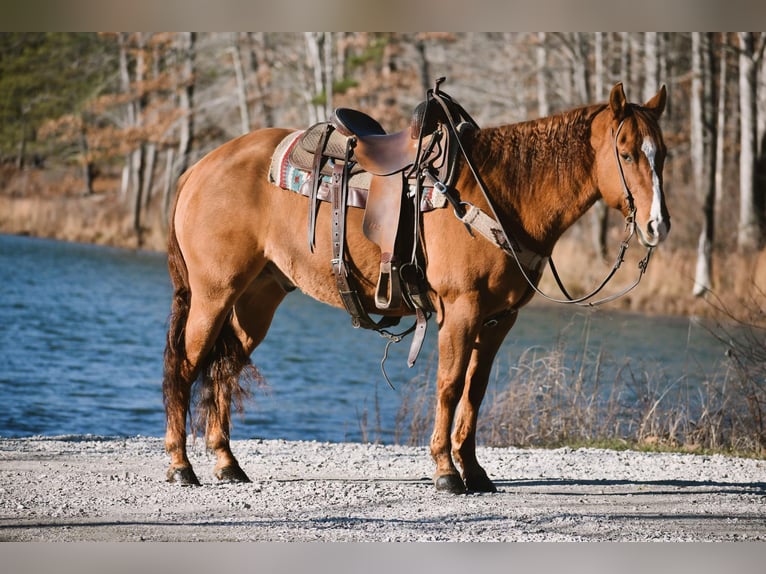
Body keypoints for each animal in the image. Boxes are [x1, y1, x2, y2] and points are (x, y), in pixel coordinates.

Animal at [164, 81, 672, 496]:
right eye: (626, 153)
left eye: (662, 154)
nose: (657, 225)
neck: (502, 194)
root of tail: (200, 167)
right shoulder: (461, 311)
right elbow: (449, 386)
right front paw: (446, 472)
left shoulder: (499, 319)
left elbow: (475, 390)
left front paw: (475, 472)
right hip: (214, 294)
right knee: (185, 366)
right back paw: (181, 466)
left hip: (257, 298)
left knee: (224, 368)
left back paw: (227, 464)